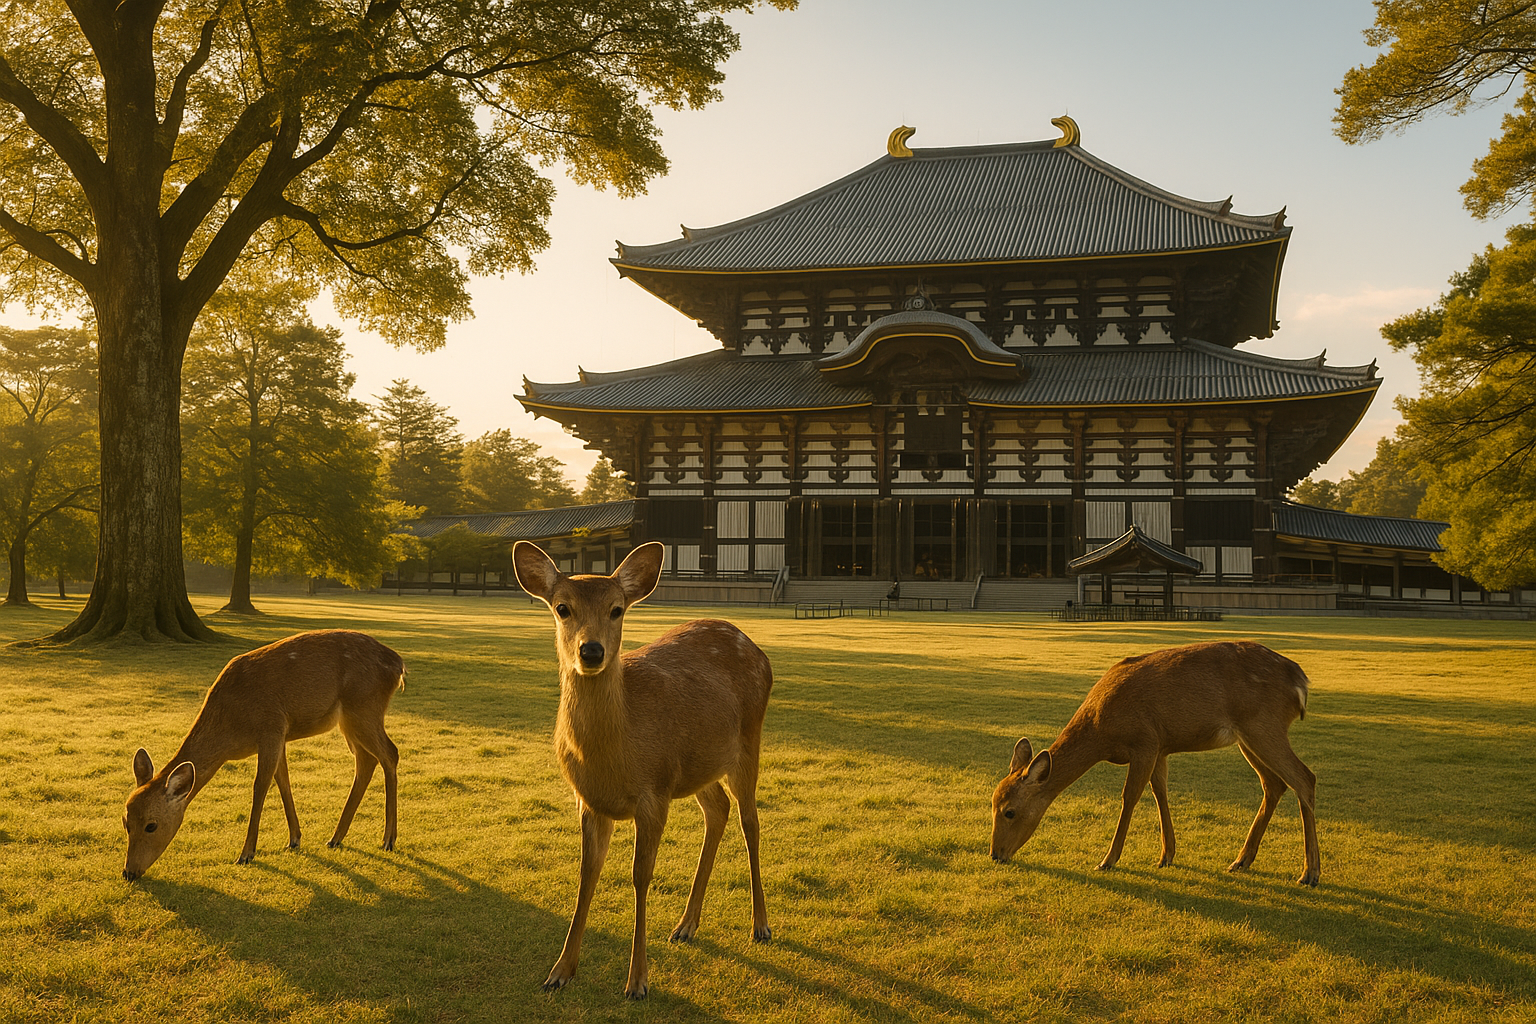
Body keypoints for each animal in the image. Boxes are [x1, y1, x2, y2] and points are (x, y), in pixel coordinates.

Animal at [121, 629, 405, 881]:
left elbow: (260, 786)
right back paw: (336, 838)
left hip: (364, 707)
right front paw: (294, 839)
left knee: (390, 753)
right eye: (125, 821)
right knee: (366, 760)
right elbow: (283, 782)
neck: (231, 731)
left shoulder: (271, 727)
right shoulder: (279, 737)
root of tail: (398, 665)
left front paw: (246, 853)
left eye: (151, 825)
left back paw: (388, 839)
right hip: (349, 720)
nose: (128, 873)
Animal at [512, 540, 773, 1000]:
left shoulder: (653, 792)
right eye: (562, 608)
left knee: (750, 820)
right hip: (696, 767)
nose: (591, 651)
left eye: (617, 609)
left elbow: (640, 876)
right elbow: (587, 873)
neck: (614, 759)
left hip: (747, 741)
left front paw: (637, 982)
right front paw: (560, 971)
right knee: (718, 809)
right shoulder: (589, 800)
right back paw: (686, 925)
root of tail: (762, 654)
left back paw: (760, 925)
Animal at [990, 640, 1320, 886]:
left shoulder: (1145, 741)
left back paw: (1310, 873)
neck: (1102, 732)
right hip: (1247, 737)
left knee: (1305, 778)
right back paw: (1241, 860)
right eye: (991, 804)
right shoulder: (1161, 747)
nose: (995, 854)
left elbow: (1130, 796)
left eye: (1009, 811)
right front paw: (1167, 855)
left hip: (1264, 725)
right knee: (1274, 784)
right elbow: (1160, 792)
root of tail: (1301, 681)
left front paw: (1108, 860)